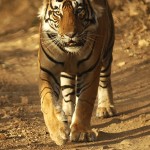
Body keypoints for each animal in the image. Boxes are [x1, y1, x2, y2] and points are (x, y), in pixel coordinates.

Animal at [38, 0, 115, 145]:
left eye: (79, 10)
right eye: (57, 13)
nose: (70, 35)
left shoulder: (90, 70)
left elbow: (84, 102)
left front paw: (81, 132)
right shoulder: (47, 70)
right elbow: (48, 101)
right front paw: (58, 131)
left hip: (107, 51)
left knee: (105, 79)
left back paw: (106, 107)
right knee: (68, 92)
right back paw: (67, 115)